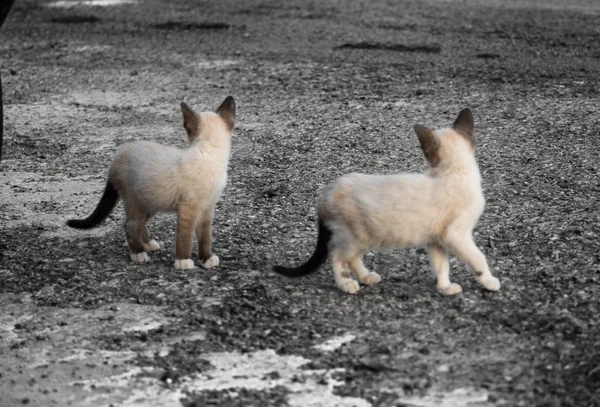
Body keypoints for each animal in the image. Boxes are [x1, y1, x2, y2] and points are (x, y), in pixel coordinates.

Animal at [65, 95, 234, 270]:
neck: (210, 154)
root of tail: (118, 154)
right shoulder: (188, 208)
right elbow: (185, 238)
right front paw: (183, 261)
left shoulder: (207, 208)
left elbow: (205, 237)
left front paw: (206, 259)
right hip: (136, 201)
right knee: (130, 225)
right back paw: (139, 254)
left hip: (151, 201)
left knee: (139, 223)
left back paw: (147, 245)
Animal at [270, 108, 496, 296]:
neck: (453, 173)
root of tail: (327, 191)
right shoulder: (456, 235)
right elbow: (478, 258)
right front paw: (490, 281)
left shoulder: (436, 239)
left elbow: (441, 266)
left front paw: (445, 288)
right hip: (356, 236)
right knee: (338, 256)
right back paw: (347, 284)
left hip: (367, 237)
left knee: (352, 257)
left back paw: (366, 277)